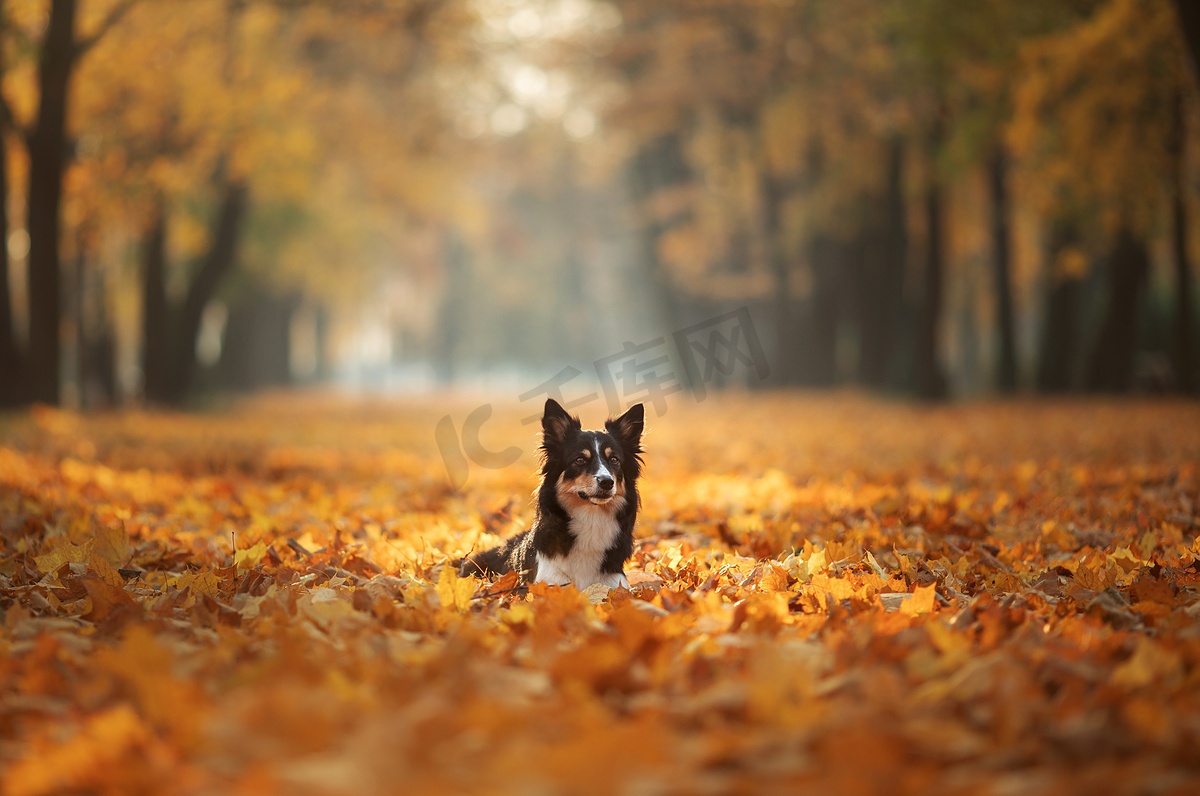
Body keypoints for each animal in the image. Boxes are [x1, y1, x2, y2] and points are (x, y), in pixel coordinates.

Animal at [458, 398, 648, 590]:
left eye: (614, 460)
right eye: (580, 460)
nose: (607, 482)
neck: (592, 518)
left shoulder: (614, 584)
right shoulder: (549, 582)